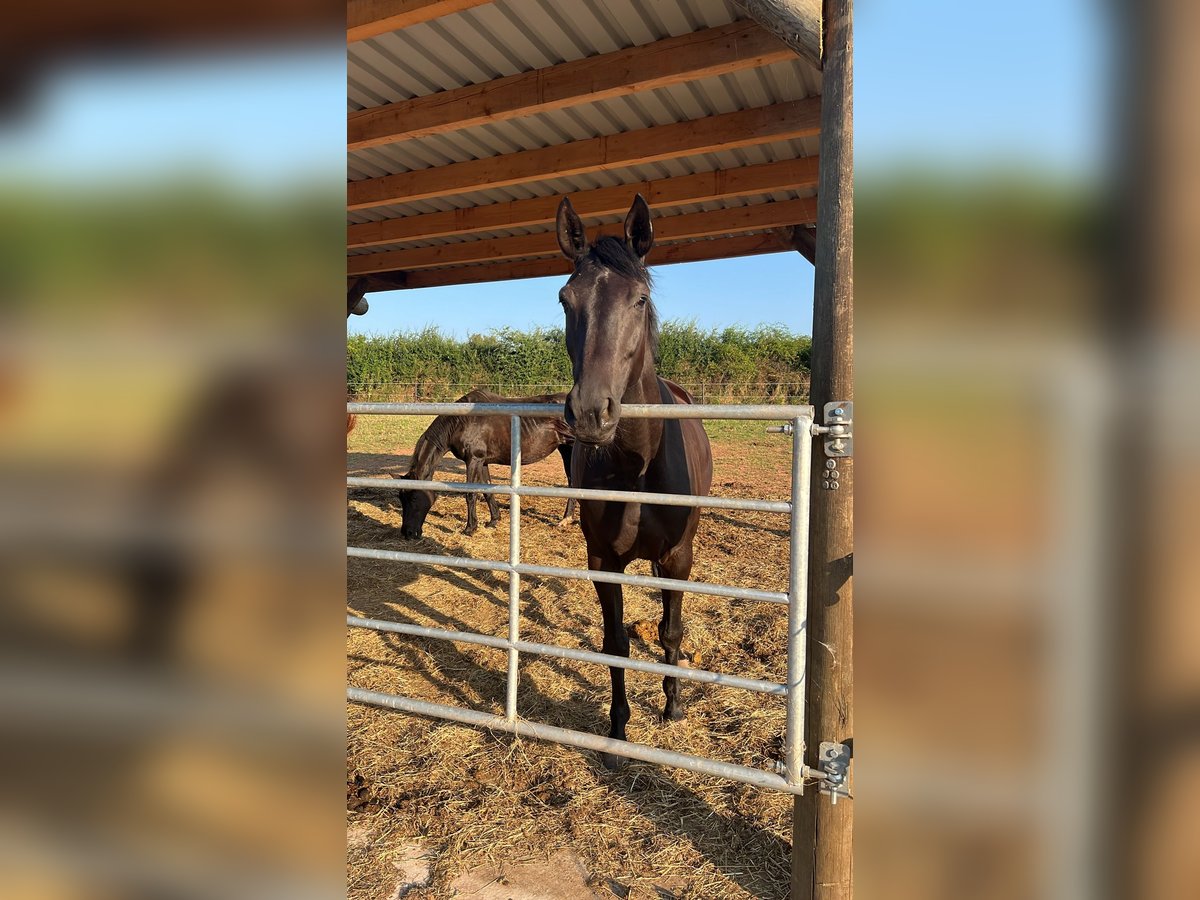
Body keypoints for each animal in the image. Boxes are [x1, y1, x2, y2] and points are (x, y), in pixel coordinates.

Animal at [396, 391, 578, 540]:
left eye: (413, 498)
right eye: (401, 498)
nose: (407, 533)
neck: (460, 422)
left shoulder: (473, 460)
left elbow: (471, 494)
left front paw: (470, 528)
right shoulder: (483, 462)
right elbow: (487, 490)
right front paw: (494, 520)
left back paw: (565, 519)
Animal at [554, 190, 710, 768]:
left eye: (640, 300)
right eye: (565, 299)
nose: (590, 413)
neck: (639, 467)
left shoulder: (678, 558)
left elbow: (669, 631)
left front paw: (673, 706)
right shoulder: (603, 561)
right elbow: (616, 644)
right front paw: (618, 731)